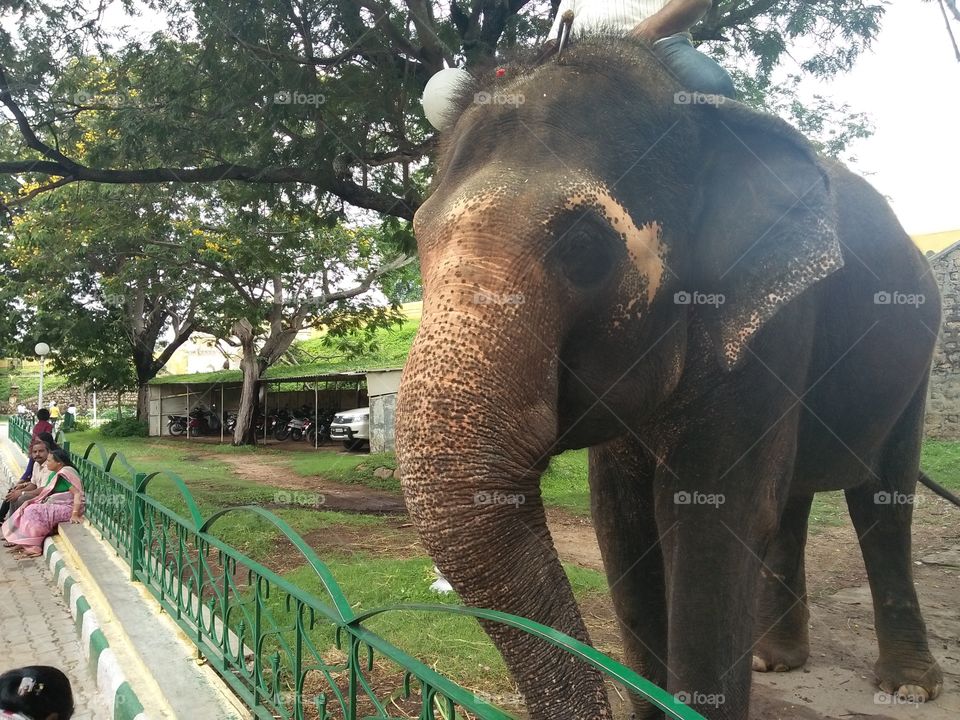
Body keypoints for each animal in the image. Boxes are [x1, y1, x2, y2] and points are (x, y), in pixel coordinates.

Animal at [396, 35, 947, 720]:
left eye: (585, 248)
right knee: (793, 499)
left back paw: (908, 685)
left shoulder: (772, 326)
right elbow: (621, 524)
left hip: (918, 360)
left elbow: (711, 522)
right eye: (418, 239)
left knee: (882, 502)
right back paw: (776, 659)